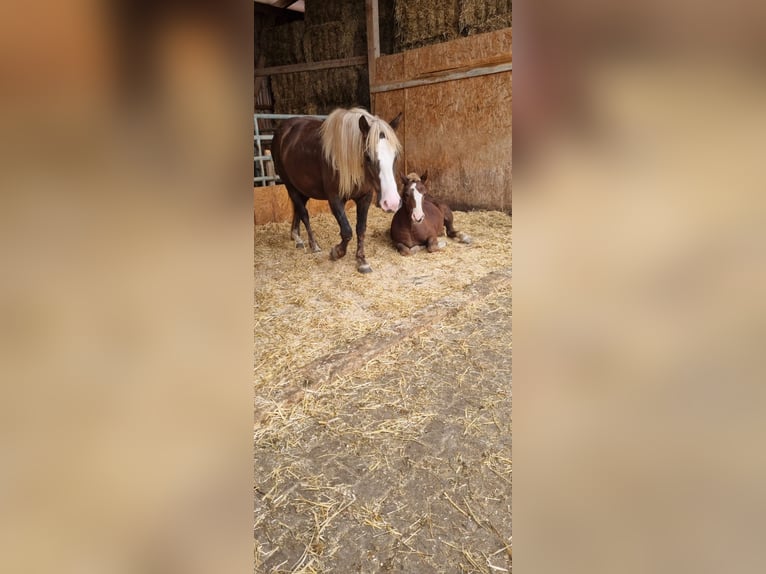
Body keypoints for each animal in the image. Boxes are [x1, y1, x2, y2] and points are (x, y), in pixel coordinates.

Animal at [272, 108, 404, 274]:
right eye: (368, 156)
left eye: (396, 156)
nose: (392, 203)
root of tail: (282, 129)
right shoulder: (334, 198)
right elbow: (347, 231)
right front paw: (336, 252)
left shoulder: (365, 197)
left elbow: (361, 229)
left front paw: (362, 260)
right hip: (290, 185)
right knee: (304, 213)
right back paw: (313, 244)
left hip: (303, 188)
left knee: (298, 210)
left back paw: (297, 237)